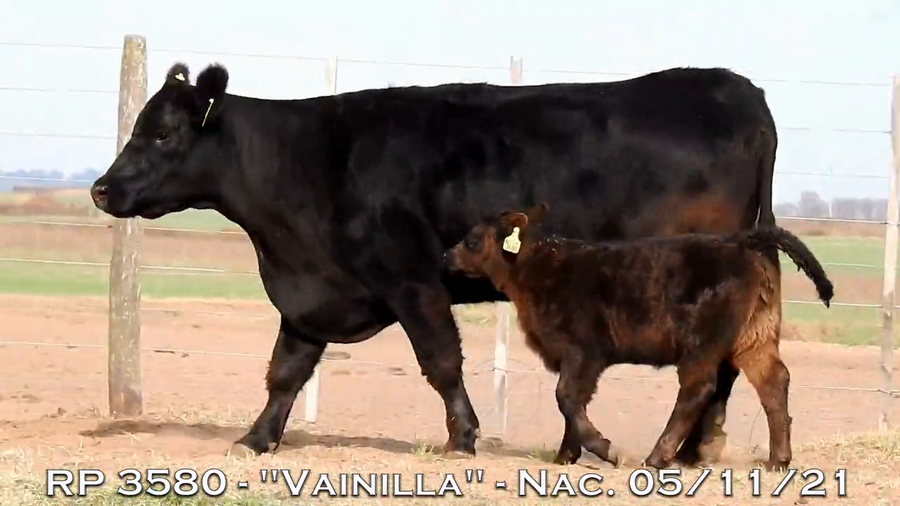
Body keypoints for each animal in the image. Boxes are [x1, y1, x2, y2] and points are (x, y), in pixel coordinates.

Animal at [89, 61, 779, 463]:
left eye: (161, 133)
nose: (101, 189)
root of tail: (737, 89)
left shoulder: (410, 279)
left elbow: (441, 361)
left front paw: (462, 436)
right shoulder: (315, 290)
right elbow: (286, 371)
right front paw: (256, 439)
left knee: (711, 369)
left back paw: (679, 451)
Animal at [443, 203, 833, 470]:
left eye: (472, 239)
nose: (447, 255)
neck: (537, 266)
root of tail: (738, 242)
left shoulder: (584, 351)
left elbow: (566, 397)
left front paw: (605, 449)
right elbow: (574, 401)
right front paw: (565, 455)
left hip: (701, 345)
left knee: (698, 389)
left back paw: (658, 456)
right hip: (754, 337)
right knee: (773, 381)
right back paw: (778, 459)